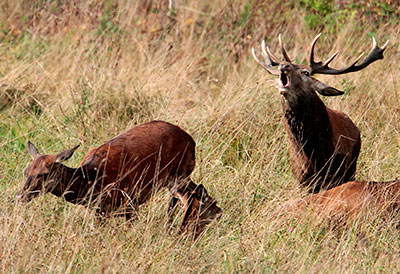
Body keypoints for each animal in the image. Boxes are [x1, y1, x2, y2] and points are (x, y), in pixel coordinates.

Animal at [17, 121, 222, 234]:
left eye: (44, 174)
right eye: (25, 171)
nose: (21, 196)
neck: (90, 180)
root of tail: (191, 140)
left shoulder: (130, 201)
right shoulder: (101, 210)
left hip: (178, 173)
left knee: (191, 196)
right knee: (199, 193)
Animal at [253, 33, 388, 193]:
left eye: (306, 73)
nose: (284, 65)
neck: (315, 156)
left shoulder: (338, 173)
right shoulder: (303, 180)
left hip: (352, 168)